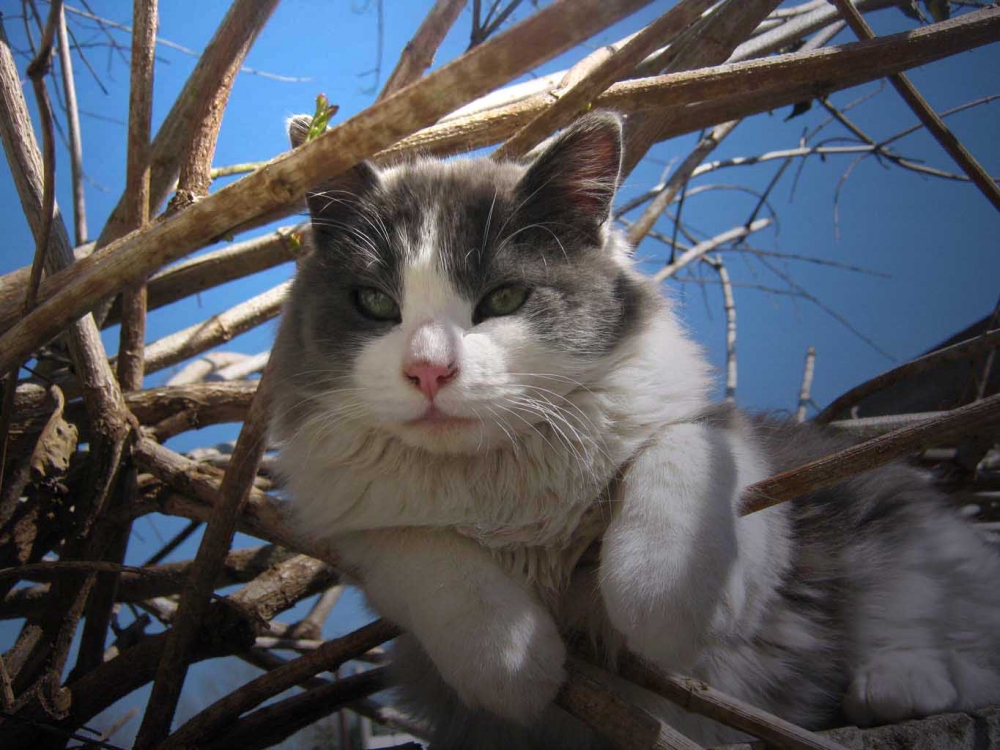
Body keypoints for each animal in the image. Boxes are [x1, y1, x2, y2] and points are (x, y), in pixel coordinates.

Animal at [268, 108, 1000, 748]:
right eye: (374, 303)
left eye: (504, 298)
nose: (428, 370)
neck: (503, 483)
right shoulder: (355, 534)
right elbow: (422, 554)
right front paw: (511, 657)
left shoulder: (728, 448)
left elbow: (678, 449)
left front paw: (659, 597)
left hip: (894, 530)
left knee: (951, 636)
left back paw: (900, 683)